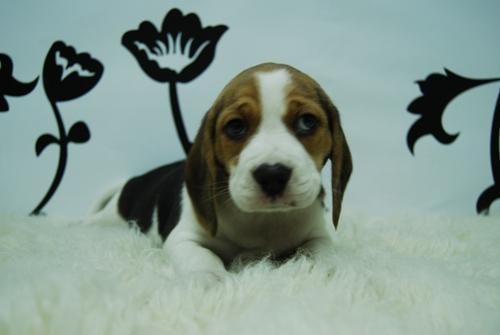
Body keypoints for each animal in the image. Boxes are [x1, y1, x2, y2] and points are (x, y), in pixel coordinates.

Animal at [94, 64, 352, 280]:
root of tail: (132, 181)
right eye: (235, 127)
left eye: (307, 122)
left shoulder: (320, 234)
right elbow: (202, 256)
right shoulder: (183, 237)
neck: (264, 218)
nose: (272, 175)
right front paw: (210, 279)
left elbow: (321, 252)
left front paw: (321, 270)